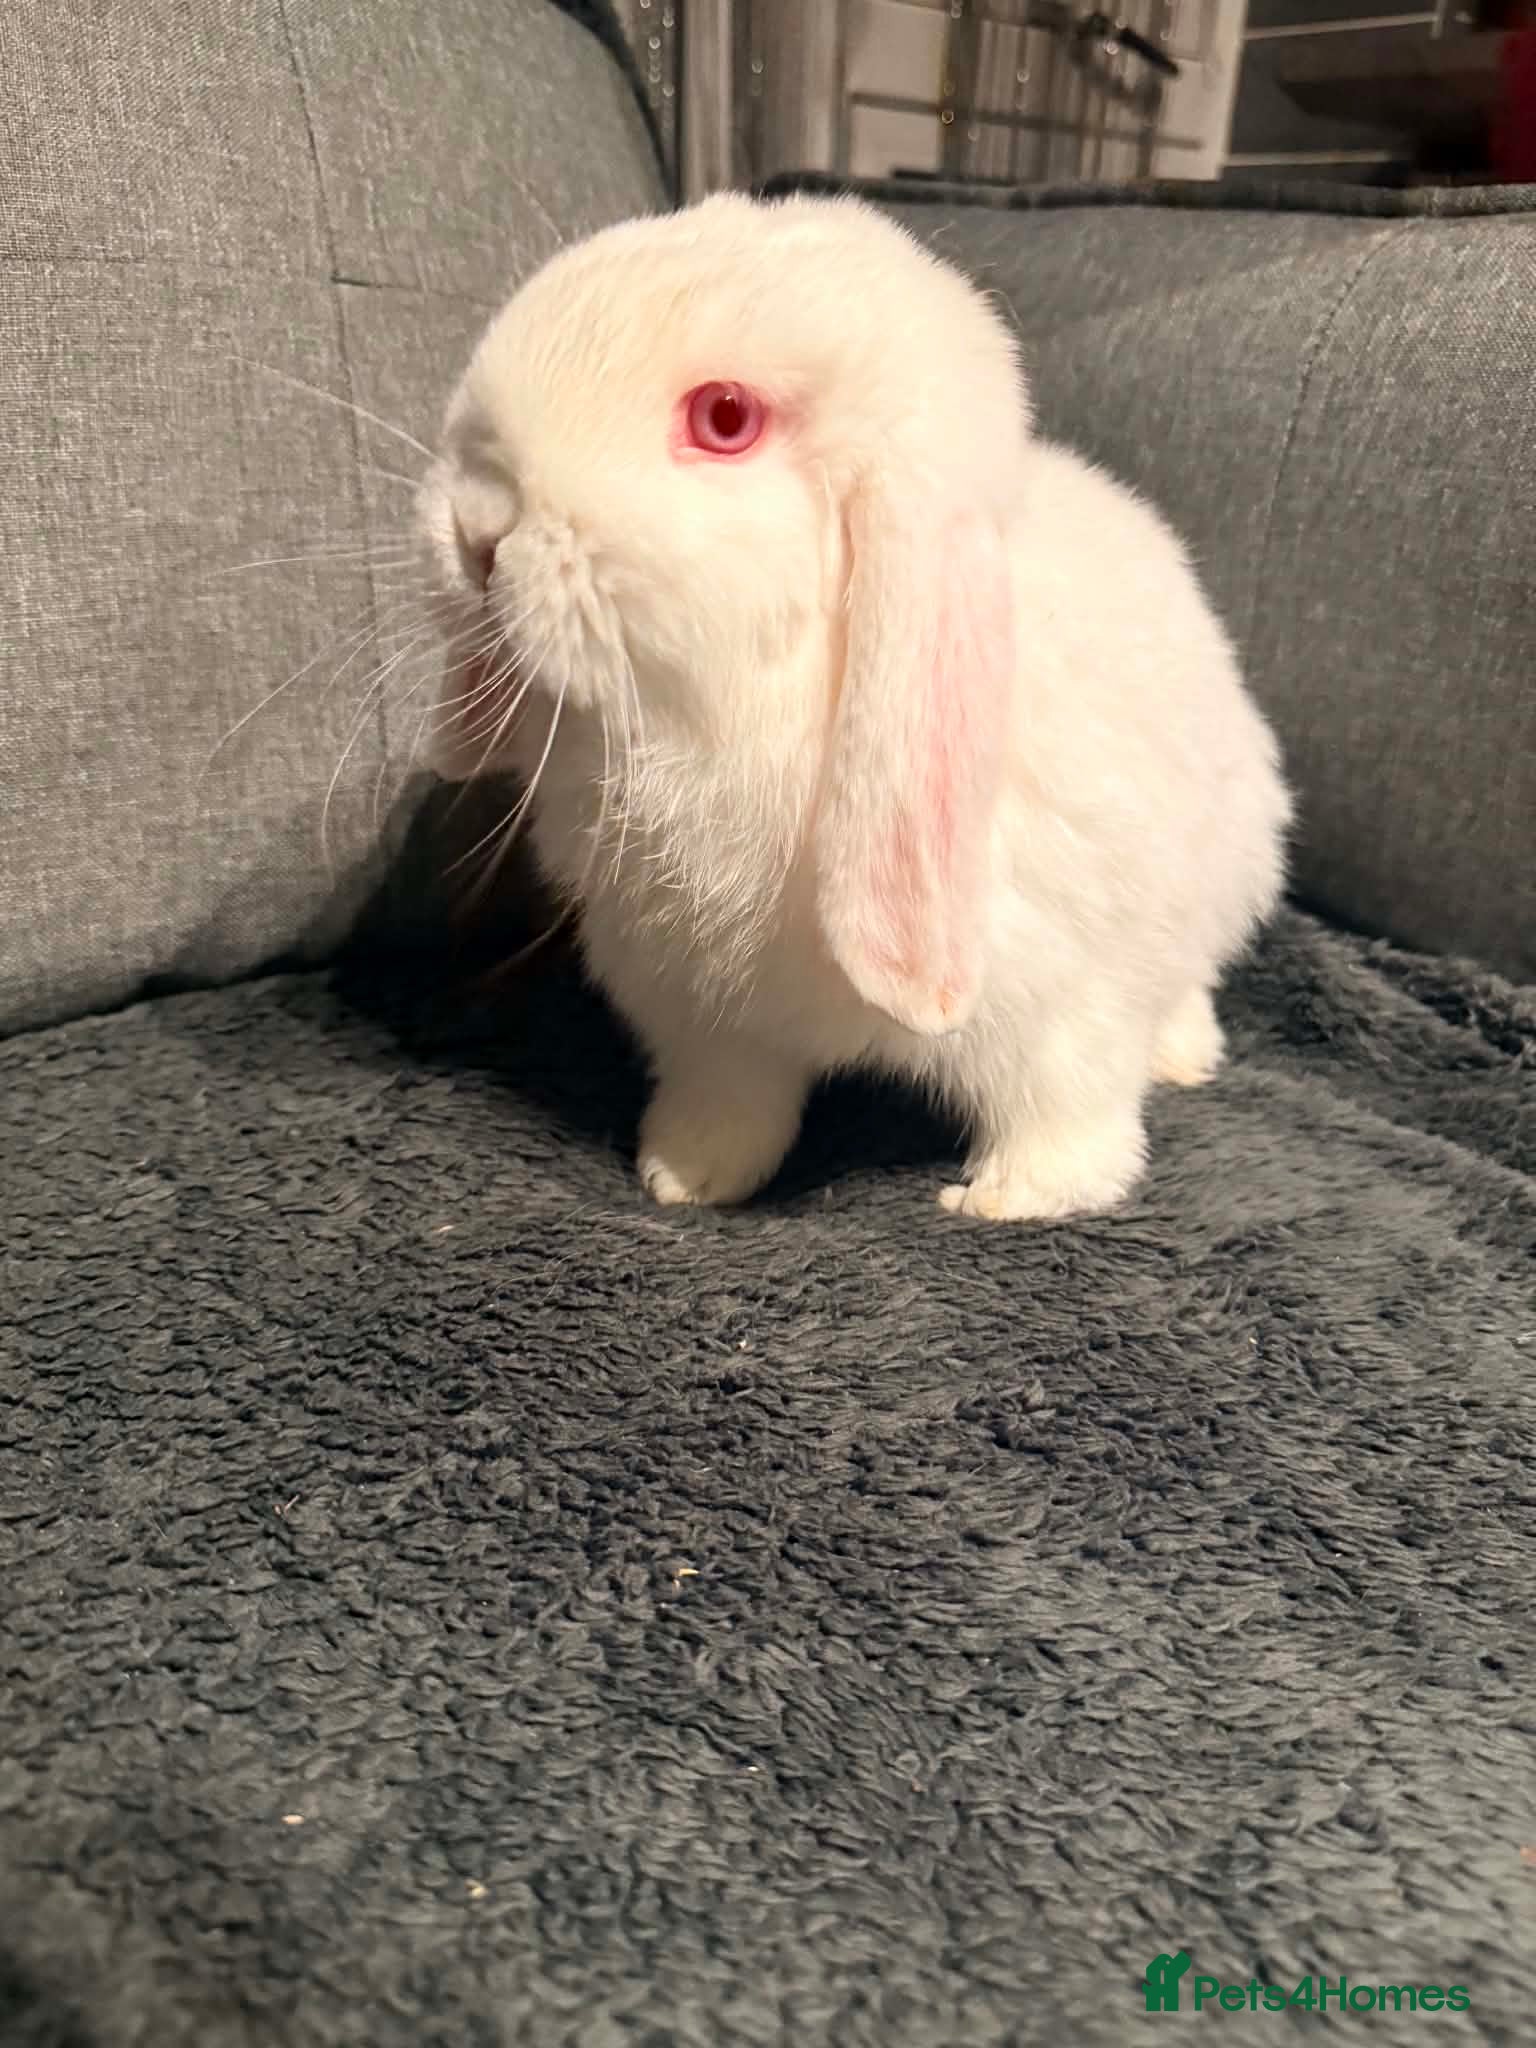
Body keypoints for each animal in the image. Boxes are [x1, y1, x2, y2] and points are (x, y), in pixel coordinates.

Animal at [418, 191, 1291, 1222]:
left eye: (724, 418)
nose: (476, 528)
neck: (733, 711)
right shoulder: (705, 1016)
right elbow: (728, 1103)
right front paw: (685, 1180)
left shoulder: (1066, 1006)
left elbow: (1063, 1113)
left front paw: (1013, 1199)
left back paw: (1184, 1057)